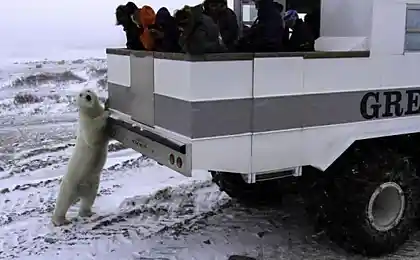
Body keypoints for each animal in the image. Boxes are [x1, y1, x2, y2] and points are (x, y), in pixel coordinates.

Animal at [52, 89, 110, 225]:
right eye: (80, 94)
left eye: (88, 91)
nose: (88, 97)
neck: (91, 112)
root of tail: (79, 193)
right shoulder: (85, 123)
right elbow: (92, 134)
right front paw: (106, 113)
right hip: (70, 184)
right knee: (63, 202)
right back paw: (60, 220)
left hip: (92, 185)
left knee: (88, 200)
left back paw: (87, 213)